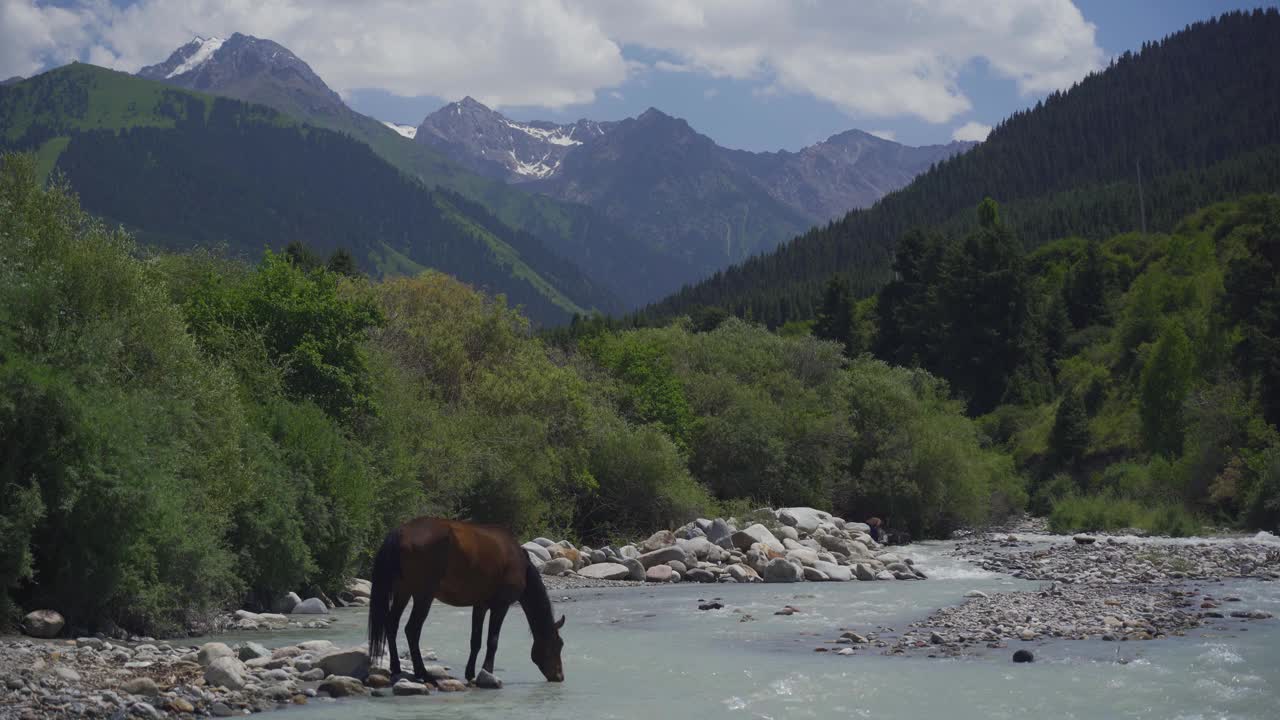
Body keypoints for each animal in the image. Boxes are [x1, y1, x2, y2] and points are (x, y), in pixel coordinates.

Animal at [371, 515, 570, 676]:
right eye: (558, 644)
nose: (559, 676)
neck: (521, 564)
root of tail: (401, 531)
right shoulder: (501, 605)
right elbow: (492, 641)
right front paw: (487, 671)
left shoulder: (480, 605)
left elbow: (476, 640)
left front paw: (471, 673)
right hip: (423, 595)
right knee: (412, 629)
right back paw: (422, 672)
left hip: (403, 591)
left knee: (392, 624)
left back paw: (396, 668)